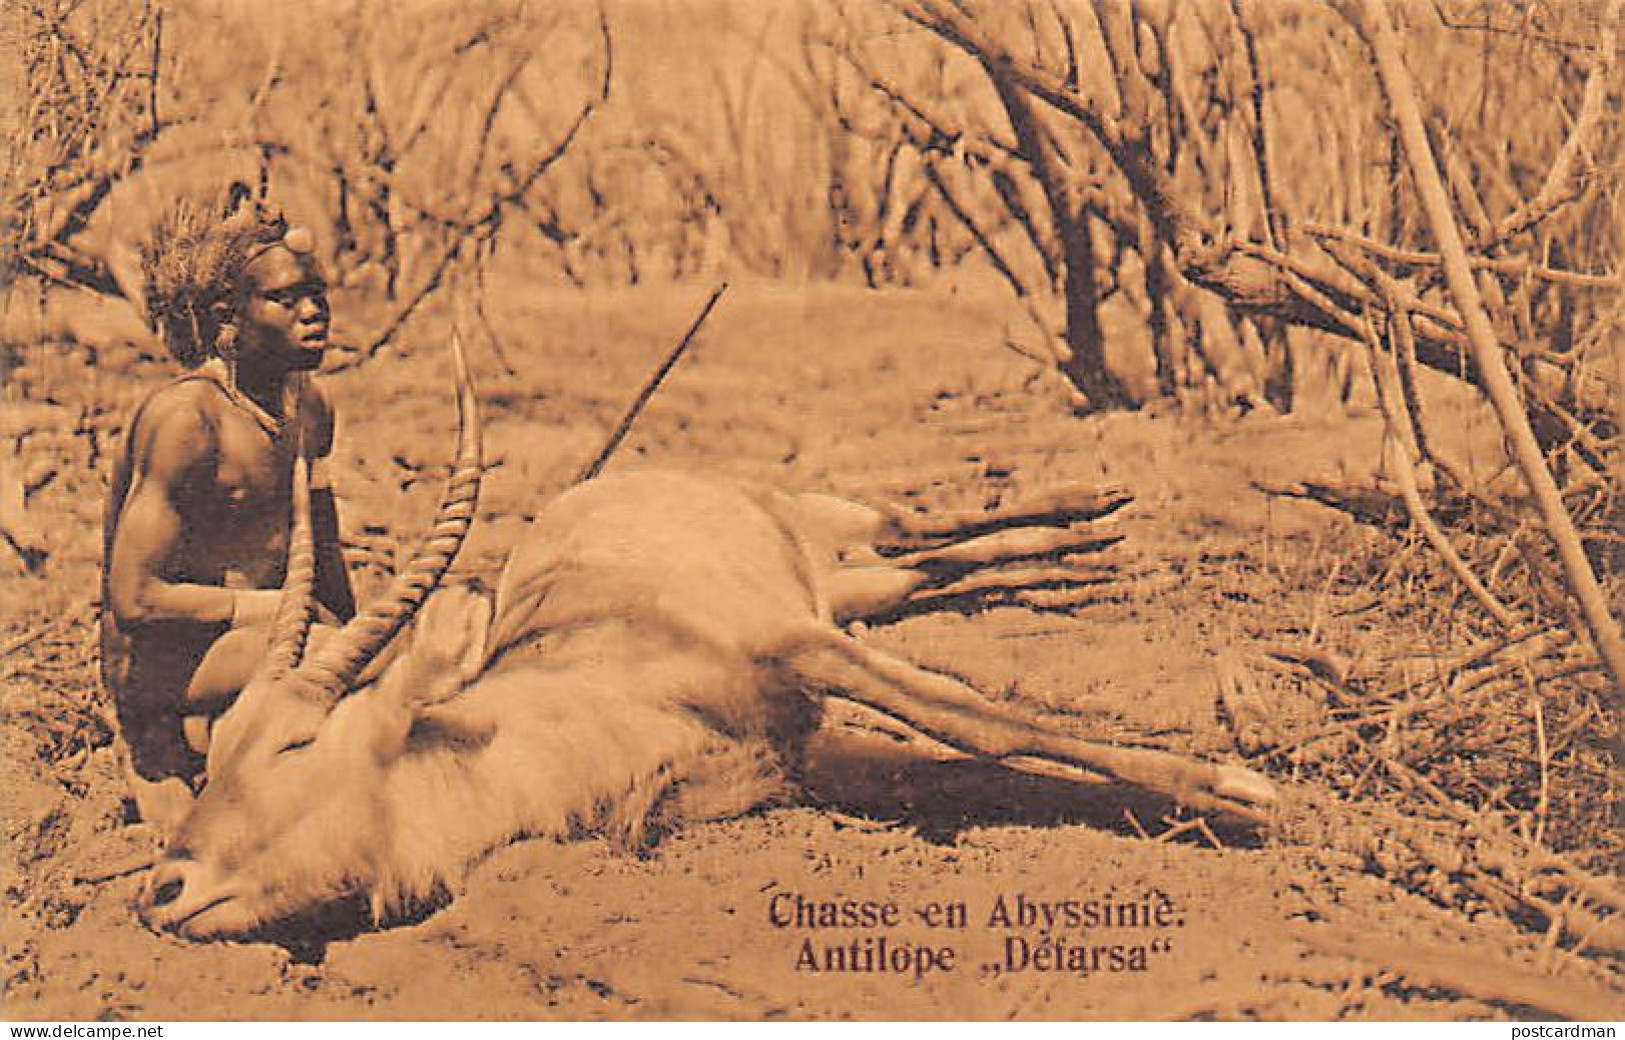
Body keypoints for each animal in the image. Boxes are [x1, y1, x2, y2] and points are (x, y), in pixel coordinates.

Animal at [139, 338, 1274, 936]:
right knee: (920, 570)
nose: (162, 887)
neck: (592, 691)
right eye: (217, 748)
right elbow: (960, 763)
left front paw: (1238, 790)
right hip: (847, 587)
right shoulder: (802, 751)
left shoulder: (797, 650)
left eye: (298, 741)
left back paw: (1097, 511)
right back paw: (1082, 555)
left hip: (828, 543)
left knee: (915, 527)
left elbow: (981, 720)